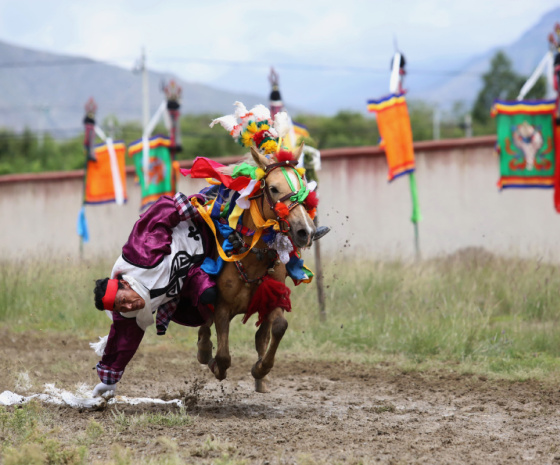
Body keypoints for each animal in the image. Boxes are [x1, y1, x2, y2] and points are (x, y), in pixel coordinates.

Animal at [189, 145, 318, 392]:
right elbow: (223, 356)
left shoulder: (272, 298)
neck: (253, 257)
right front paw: (213, 363)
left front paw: (261, 369)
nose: (305, 231)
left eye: (303, 188)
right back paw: (204, 351)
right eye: (273, 188)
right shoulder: (222, 307)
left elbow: (278, 327)